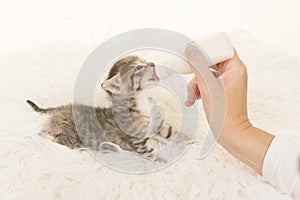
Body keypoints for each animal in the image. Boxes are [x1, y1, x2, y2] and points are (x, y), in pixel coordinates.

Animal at [26, 55, 178, 157]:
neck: (141, 101)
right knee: (56, 139)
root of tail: (61, 109)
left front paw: (183, 140)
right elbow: (155, 156)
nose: (152, 63)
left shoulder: (158, 124)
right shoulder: (140, 144)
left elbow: (171, 132)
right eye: (139, 67)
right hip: (71, 135)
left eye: (145, 60)